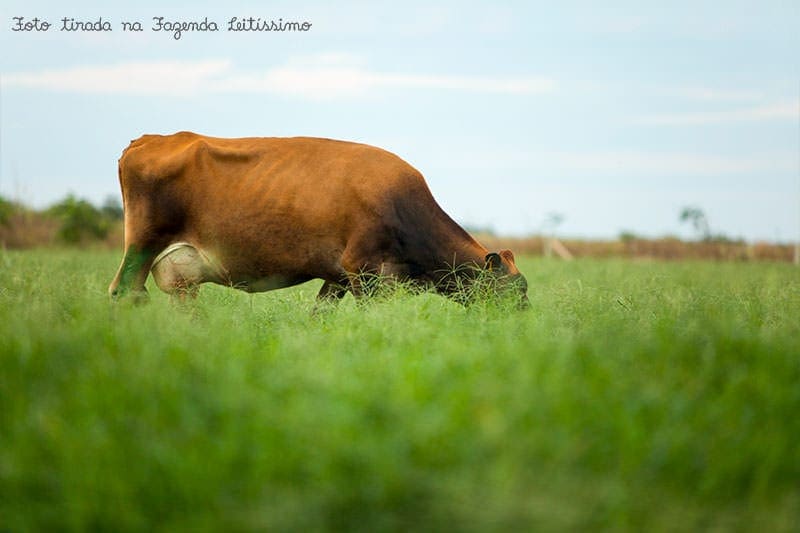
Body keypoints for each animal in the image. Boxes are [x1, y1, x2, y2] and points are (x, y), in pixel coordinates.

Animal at [108, 131, 532, 308]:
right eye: (512, 292)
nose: (524, 323)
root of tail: (149, 139)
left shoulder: (338, 275)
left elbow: (320, 316)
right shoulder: (364, 271)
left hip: (177, 270)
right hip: (142, 244)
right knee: (125, 292)